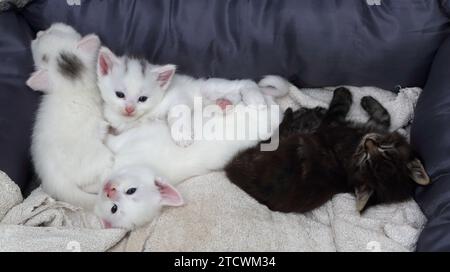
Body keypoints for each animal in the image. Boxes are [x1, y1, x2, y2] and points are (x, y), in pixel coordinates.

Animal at [225, 87, 428, 212]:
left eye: (366, 159)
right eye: (384, 149)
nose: (369, 142)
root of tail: (231, 170)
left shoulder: (332, 123)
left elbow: (338, 107)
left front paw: (342, 93)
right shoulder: (372, 126)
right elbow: (384, 115)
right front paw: (367, 100)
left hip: (277, 142)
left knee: (283, 128)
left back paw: (299, 112)